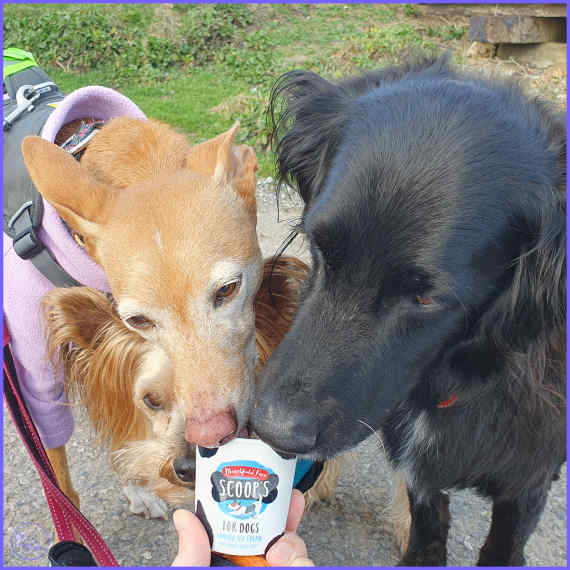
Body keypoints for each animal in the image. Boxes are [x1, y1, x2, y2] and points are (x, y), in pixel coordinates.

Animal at [253, 57, 564, 564]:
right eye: (320, 247)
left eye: (426, 298)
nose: (272, 432)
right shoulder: (421, 475)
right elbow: (426, 527)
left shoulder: (528, 482)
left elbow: (504, 544)